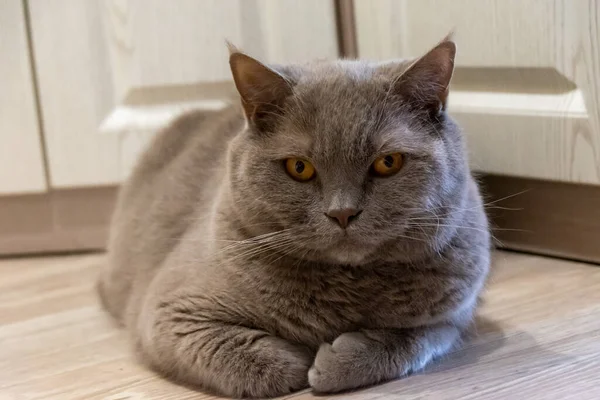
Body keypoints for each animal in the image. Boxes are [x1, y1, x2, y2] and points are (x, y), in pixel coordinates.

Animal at [97, 36, 492, 396]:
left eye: (387, 162)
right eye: (299, 168)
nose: (342, 212)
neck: (346, 289)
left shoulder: (451, 315)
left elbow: (413, 339)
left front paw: (335, 363)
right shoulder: (170, 312)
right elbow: (265, 364)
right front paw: (300, 360)